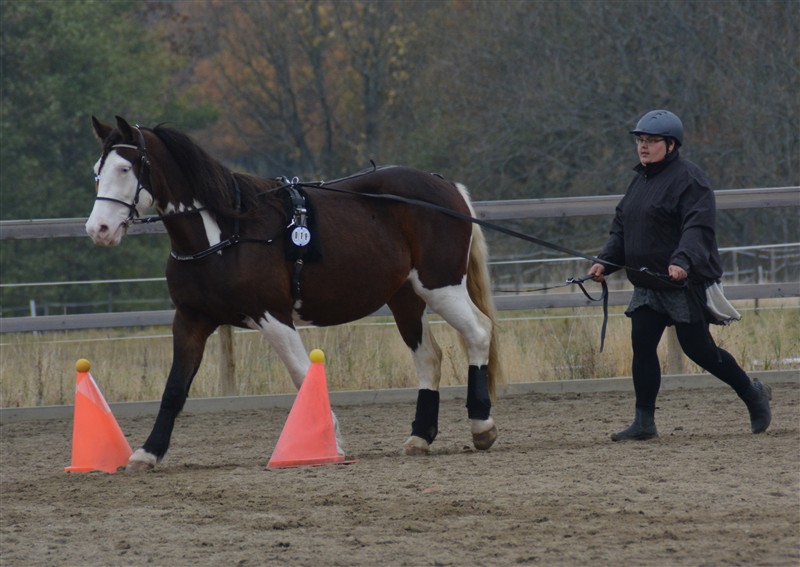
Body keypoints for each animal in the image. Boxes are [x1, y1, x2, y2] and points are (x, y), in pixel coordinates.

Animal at [87, 115, 500, 470]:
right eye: (96, 171)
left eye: (125, 168)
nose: (98, 229)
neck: (226, 235)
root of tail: (446, 187)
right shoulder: (191, 319)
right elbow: (174, 388)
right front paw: (147, 452)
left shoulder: (273, 316)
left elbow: (303, 376)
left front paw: (329, 443)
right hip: (406, 298)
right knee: (429, 356)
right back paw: (420, 437)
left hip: (440, 287)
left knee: (478, 332)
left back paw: (482, 425)